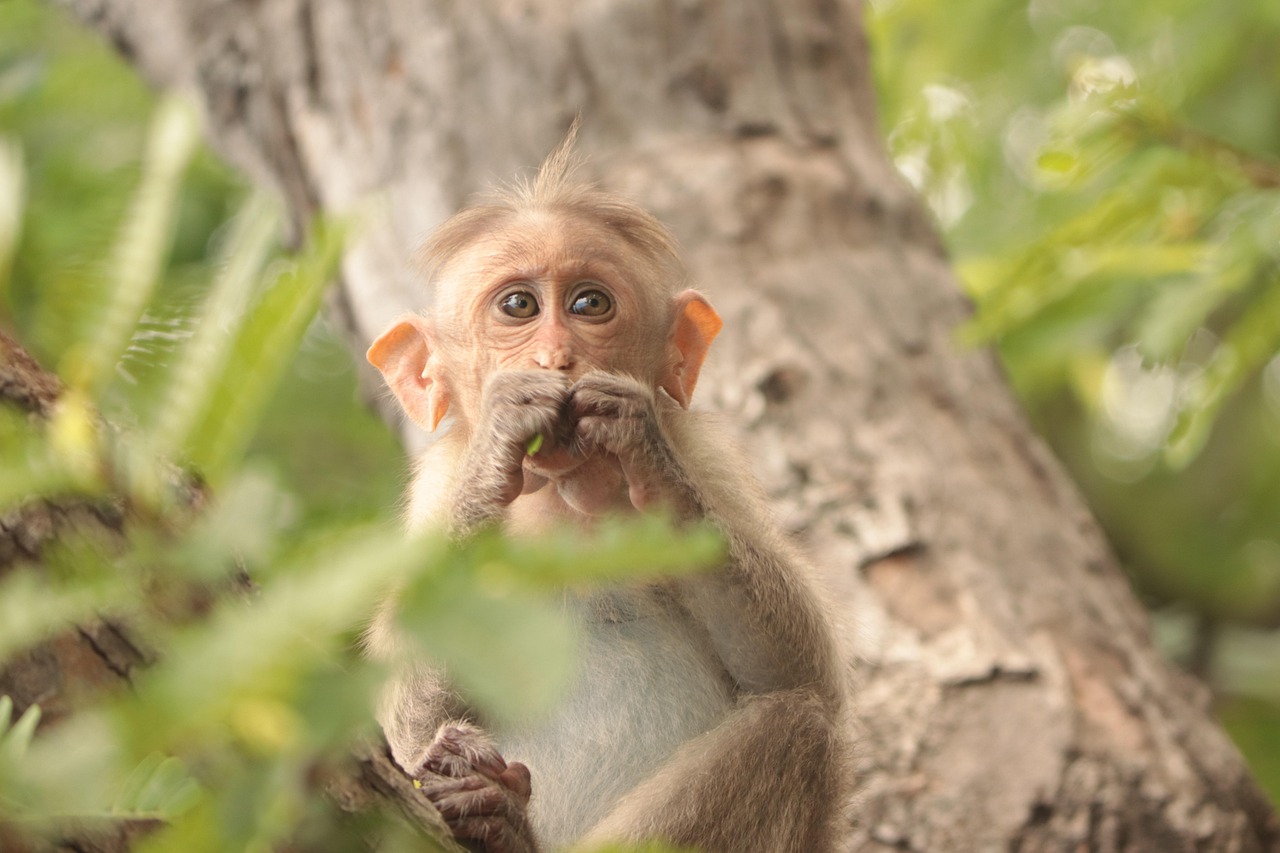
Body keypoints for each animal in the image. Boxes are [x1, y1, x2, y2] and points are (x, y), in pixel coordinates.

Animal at [364, 137, 849, 853]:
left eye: (589, 305)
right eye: (519, 307)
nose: (556, 358)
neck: (565, 497)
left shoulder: (706, 454)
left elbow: (804, 673)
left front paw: (639, 448)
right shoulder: (435, 487)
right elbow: (407, 734)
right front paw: (503, 437)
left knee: (797, 724)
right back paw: (491, 814)